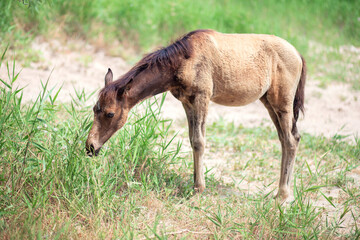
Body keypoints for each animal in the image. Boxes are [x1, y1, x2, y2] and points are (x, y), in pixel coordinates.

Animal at [86, 29, 306, 202]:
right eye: (95, 109)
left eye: (110, 113)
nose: (90, 147)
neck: (184, 60)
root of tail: (297, 54)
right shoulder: (187, 102)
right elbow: (193, 140)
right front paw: (194, 184)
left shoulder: (202, 98)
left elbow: (200, 141)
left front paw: (199, 188)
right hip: (269, 103)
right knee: (288, 138)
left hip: (282, 103)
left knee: (290, 140)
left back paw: (283, 195)